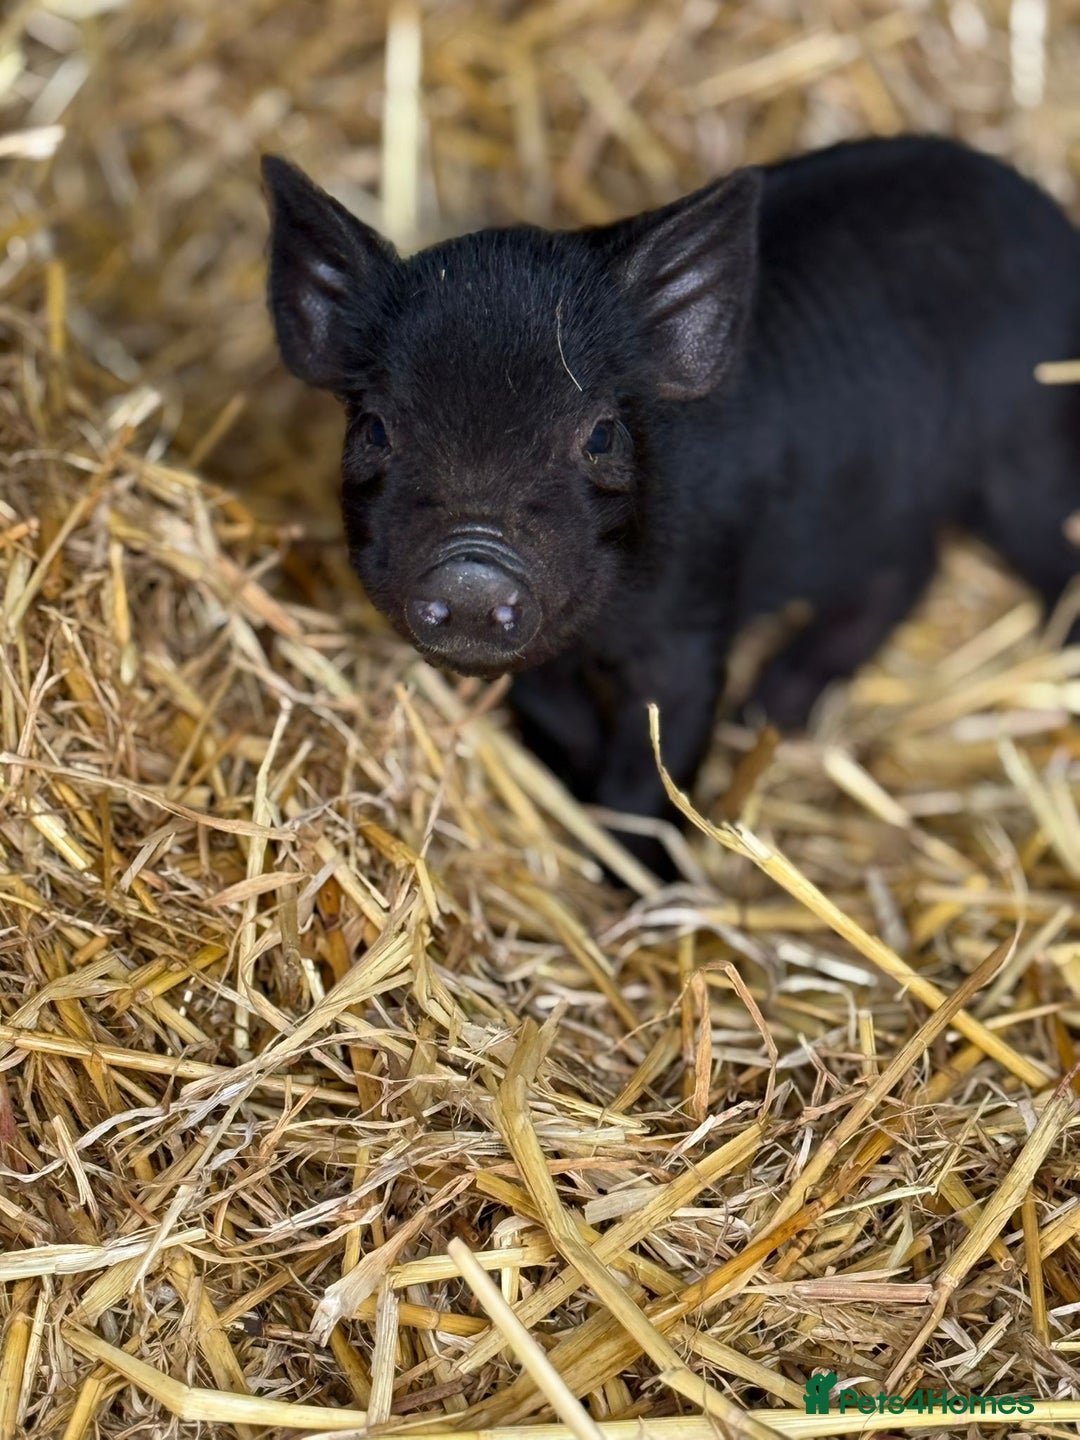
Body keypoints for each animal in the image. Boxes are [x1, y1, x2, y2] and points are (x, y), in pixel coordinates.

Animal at [262, 136, 1080, 877]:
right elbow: (557, 719)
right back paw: (770, 712)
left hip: (1030, 465)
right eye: (374, 427)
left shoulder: (690, 627)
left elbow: (654, 766)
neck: (600, 632)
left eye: (599, 433)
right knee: (907, 572)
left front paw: (639, 886)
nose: (470, 568)